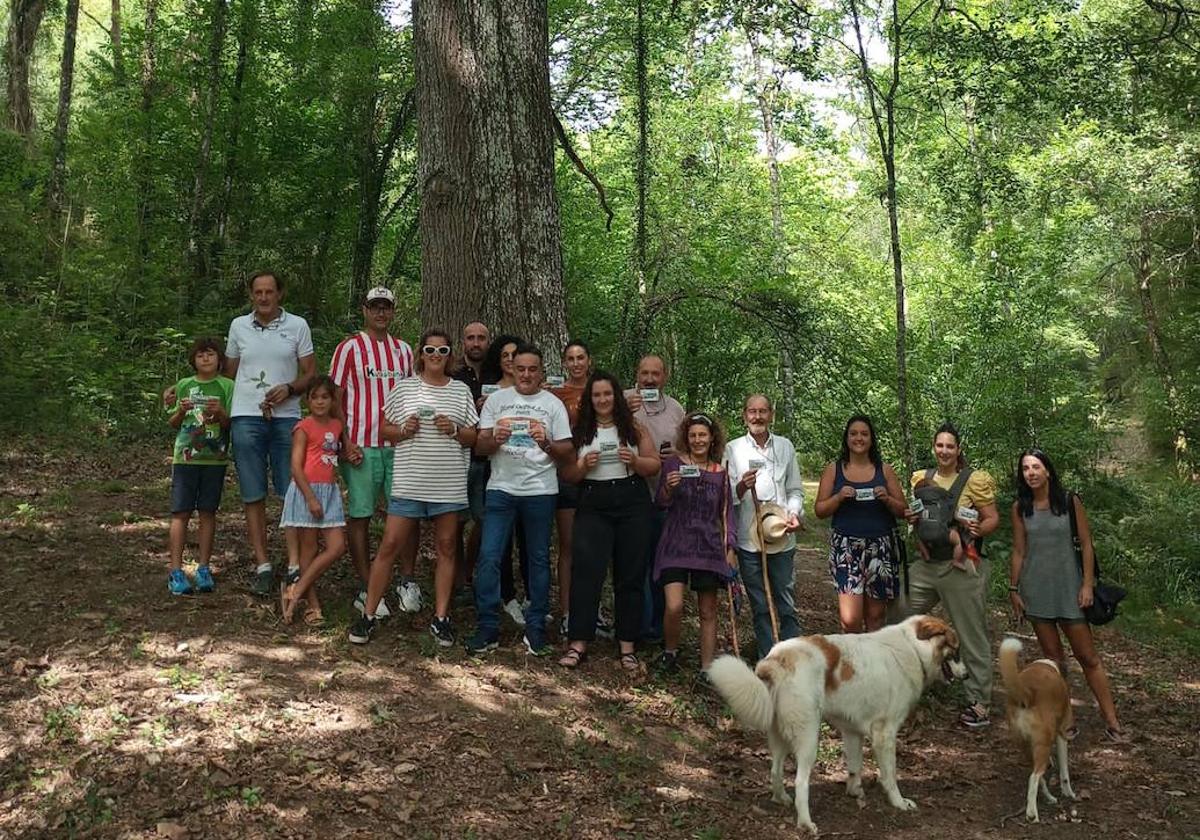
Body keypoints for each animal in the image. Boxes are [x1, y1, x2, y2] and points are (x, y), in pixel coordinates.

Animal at [705, 614, 960, 835]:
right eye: (956, 652)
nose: (966, 675)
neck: (912, 647)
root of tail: (778, 659)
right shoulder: (885, 735)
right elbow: (890, 775)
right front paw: (898, 802)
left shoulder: (852, 731)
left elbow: (855, 766)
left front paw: (855, 791)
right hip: (809, 738)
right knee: (800, 782)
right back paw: (806, 823)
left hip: (779, 735)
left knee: (775, 770)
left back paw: (781, 799)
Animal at [998, 638, 1075, 820]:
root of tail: (1028, 693)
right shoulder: (1062, 734)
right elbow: (1064, 773)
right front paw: (1069, 793)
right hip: (1043, 744)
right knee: (1034, 777)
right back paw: (1032, 813)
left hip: (1026, 745)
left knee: (1037, 777)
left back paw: (1048, 798)